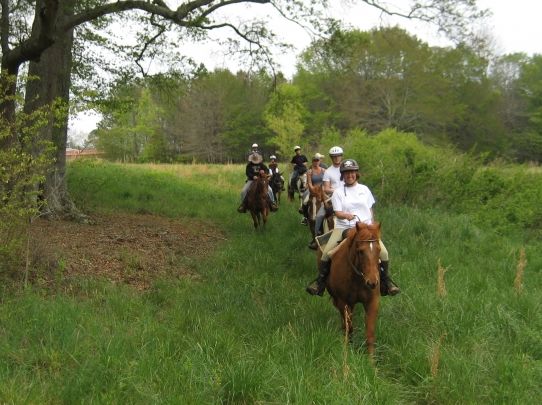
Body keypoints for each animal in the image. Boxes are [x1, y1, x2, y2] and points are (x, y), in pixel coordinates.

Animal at [326, 221, 384, 356]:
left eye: (379, 250)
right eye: (360, 251)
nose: (372, 282)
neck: (358, 279)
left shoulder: (373, 301)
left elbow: (370, 333)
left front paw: (371, 360)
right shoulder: (343, 302)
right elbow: (349, 328)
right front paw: (347, 351)